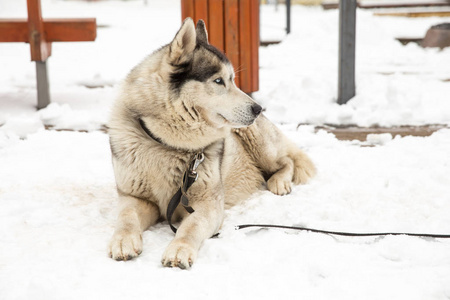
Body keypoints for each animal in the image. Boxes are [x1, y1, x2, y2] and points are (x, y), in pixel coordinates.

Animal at [107, 17, 314, 268]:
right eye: (218, 81)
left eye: (233, 80)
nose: (258, 108)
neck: (167, 144)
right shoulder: (135, 198)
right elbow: (126, 218)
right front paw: (123, 241)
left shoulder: (207, 205)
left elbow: (190, 227)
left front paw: (179, 249)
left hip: (256, 141)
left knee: (287, 161)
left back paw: (280, 182)